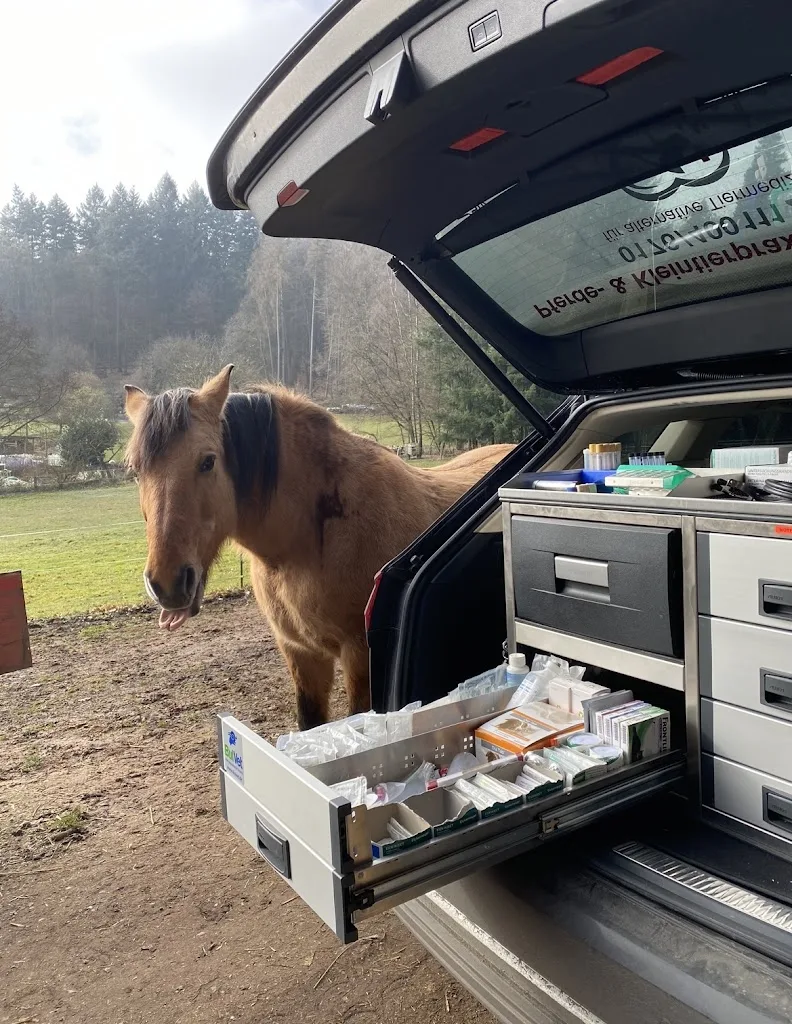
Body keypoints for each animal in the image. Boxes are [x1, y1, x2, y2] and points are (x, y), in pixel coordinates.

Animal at [124, 365, 514, 729]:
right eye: (135, 470)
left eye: (207, 461)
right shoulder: (301, 654)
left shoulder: (359, 656)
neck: (306, 542)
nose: (167, 583)